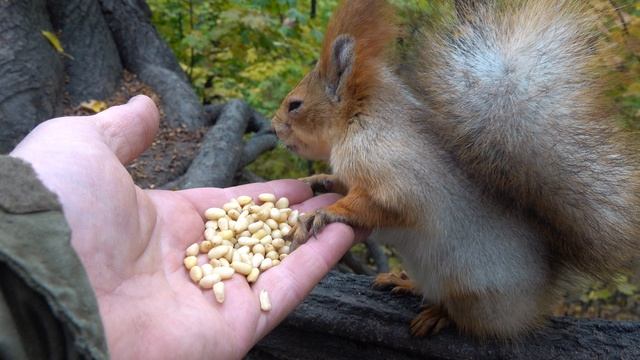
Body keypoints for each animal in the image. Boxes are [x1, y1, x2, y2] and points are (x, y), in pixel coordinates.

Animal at [268, 0, 640, 338]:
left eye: (295, 105)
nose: (273, 127)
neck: (358, 121)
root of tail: (541, 294)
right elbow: (344, 184)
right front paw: (319, 180)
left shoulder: (393, 171)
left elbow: (380, 204)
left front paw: (325, 212)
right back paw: (406, 282)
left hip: (472, 294)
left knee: (469, 320)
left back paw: (438, 315)